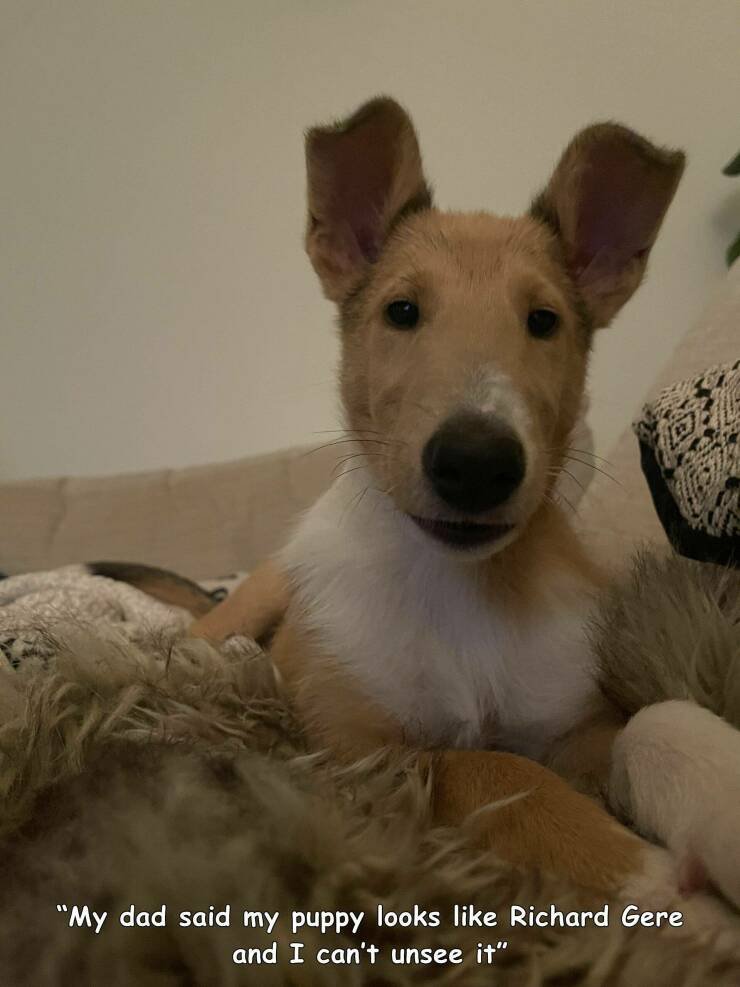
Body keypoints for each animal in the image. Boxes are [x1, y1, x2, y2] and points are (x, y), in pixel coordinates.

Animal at [118, 98, 740, 916]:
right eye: (402, 310)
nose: (476, 464)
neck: (460, 583)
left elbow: (651, 719)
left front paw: (720, 802)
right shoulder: (356, 755)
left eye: (544, 321)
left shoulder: (572, 721)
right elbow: (487, 769)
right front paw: (654, 886)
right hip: (254, 603)